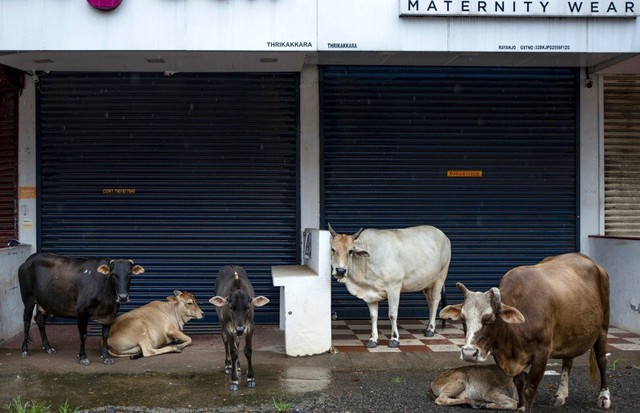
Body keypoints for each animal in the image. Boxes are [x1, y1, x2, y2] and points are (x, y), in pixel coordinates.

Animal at [18, 251, 146, 364]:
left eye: (129, 274)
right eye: (113, 274)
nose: (123, 297)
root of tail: (29, 260)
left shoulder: (109, 314)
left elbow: (105, 335)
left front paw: (106, 357)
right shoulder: (81, 312)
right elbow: (83, 335)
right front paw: (83, 357)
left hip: (44, 303)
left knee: (40, 320)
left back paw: (48, 347)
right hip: (28, 299)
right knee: (27, 321)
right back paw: (24, 350)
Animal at [440, 253, 608, 410]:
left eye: (490, 318)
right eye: (463, 318)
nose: (469, 353)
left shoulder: (542, 353)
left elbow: (530, 388)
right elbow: (519, 383)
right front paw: (520, 406)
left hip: (602, 330)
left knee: (602, 360)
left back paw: (604, 397)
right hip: (571, 335)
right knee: (567, 362)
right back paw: (560, 396)